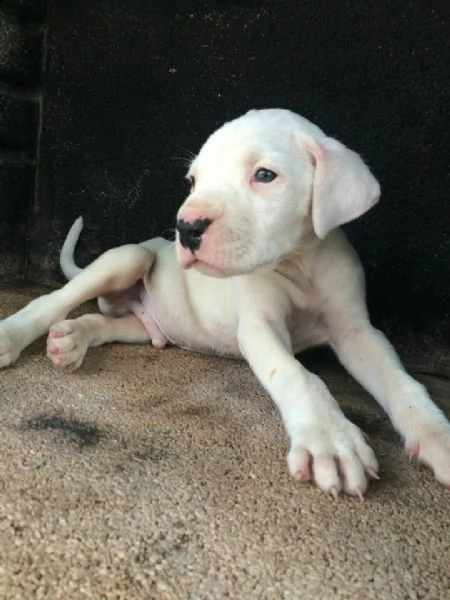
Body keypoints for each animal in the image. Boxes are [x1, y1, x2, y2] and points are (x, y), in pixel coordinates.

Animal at [0, 109, 450, 496]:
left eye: (265, 175)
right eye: (193, 180)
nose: (186, 228)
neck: (298, 262)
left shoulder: (357, 331)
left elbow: (402, 382)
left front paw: (436, 435)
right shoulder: (259, 325)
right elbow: (298, 375)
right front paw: (331, 440)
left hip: (145, 324)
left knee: (108, 322)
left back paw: (72, 339)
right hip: (128, 258)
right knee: (54, 300)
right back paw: (14, 335)